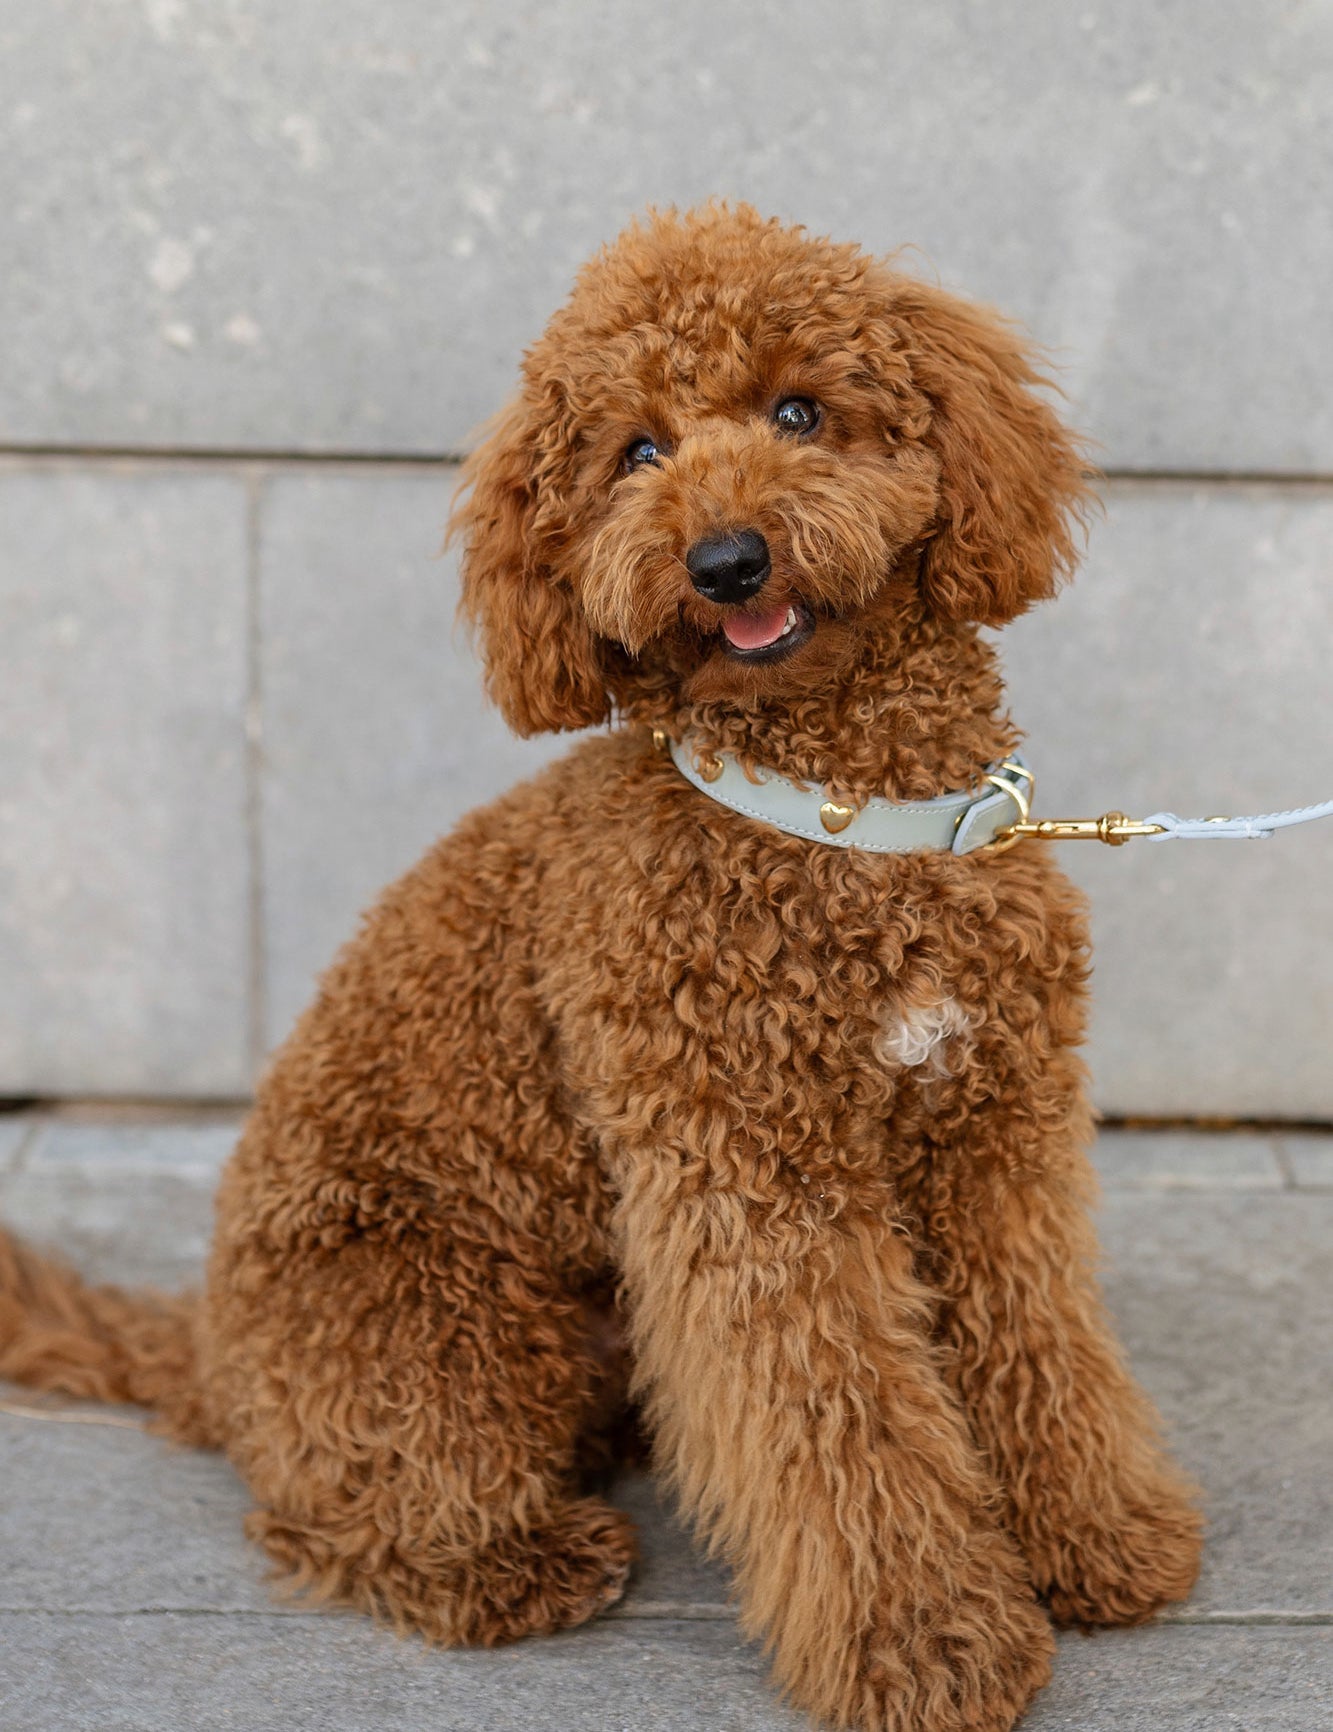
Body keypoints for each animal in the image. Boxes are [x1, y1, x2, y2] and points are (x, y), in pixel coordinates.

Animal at [0, 206, 1197, 1732]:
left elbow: (1038, 1340)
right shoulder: (749, 1172)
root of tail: (204, 1350)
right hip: (433, 1337)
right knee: (339, 1511)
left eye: (798, 411)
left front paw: (1099, 1538)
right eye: (634, 452)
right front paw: (926, 1642)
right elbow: (837, 1415)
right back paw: (514, 1564)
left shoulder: (996, 1134)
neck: (842, 822)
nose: (727, 559)